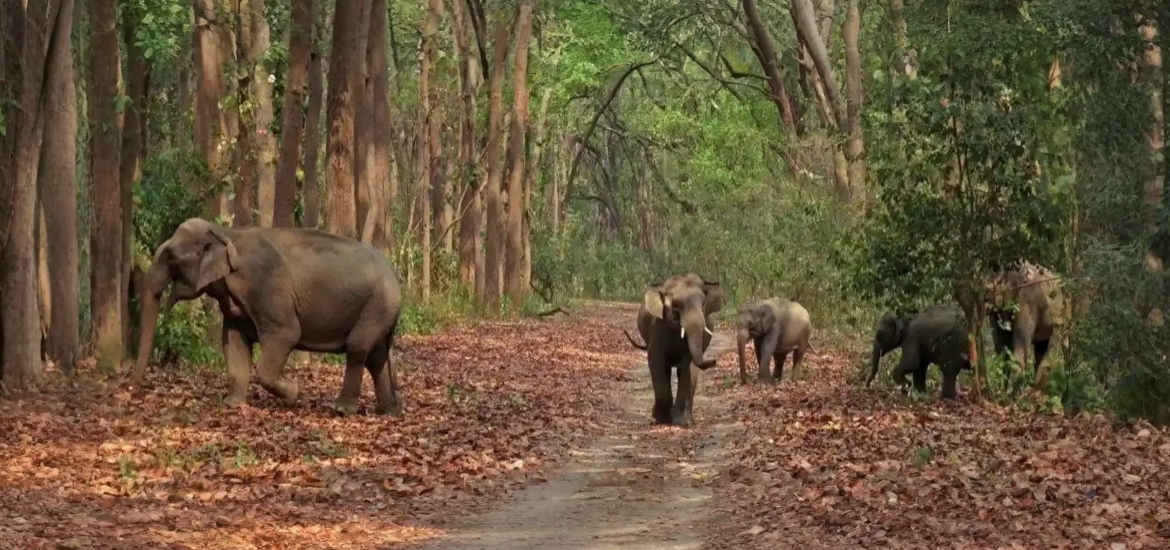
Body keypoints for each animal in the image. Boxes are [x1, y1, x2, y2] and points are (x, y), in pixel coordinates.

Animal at [129, 217, 405, 416]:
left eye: (170, 256)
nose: (141, 387)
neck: (226, 233)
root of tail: (394, 273)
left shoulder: (267, 287)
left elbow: (286, 334)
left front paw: (293, 394)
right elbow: (233, 342)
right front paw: (231, 403)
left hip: (376, 306)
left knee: (357, 348)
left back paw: (343, 409)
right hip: (380, 311)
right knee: (376, 356)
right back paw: (388, 411)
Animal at [623, 274, 724, 426]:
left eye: (703, 304)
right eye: (676, 304)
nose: (713, 361)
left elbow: (687, 366)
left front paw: (683, 423)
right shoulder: (657, 328)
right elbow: (656, 361)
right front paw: (661, 420)